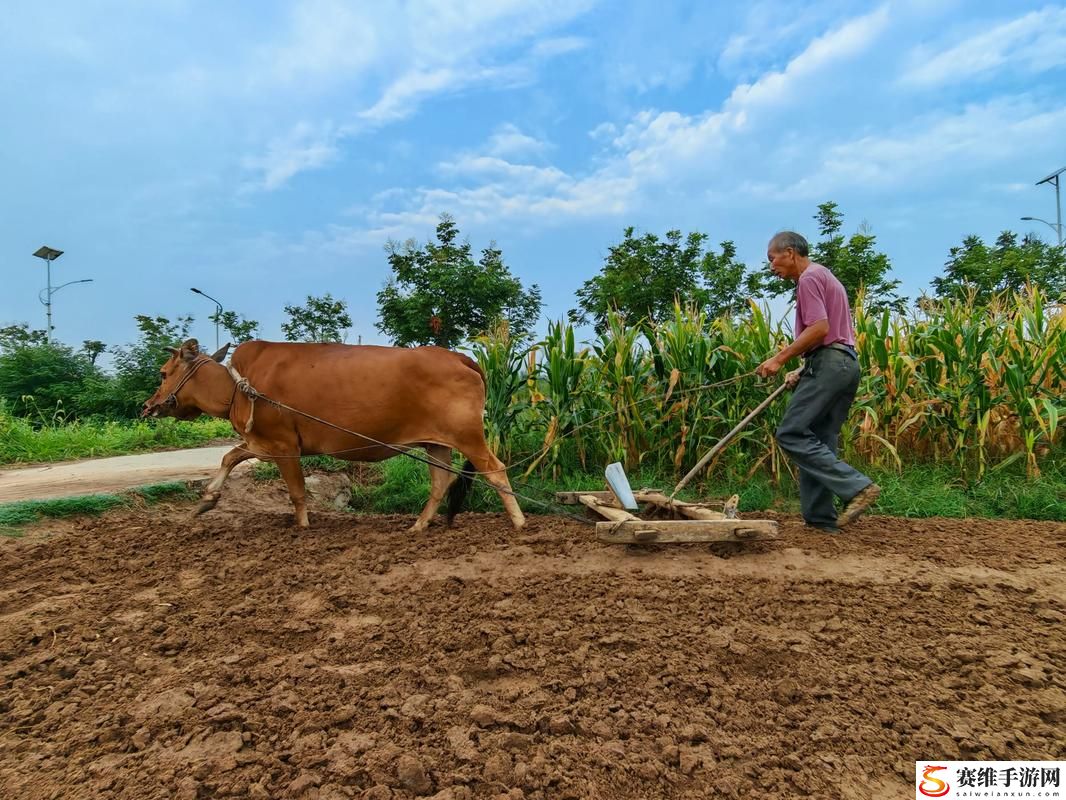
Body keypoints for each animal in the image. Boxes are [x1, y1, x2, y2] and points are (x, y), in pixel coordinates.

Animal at [141, 339, 524, 533]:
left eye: (163, 372)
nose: (147, 406)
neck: (240, 387)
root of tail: (461, 358)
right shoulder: (262, 443)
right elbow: (229, 456)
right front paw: (206, 500)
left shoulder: (282, 444)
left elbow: (296, 491)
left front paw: (303, 526)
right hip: (436, 443)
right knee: (440, 482)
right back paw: (417, 526)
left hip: (468, 437)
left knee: (495, 469)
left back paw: (519, 521)